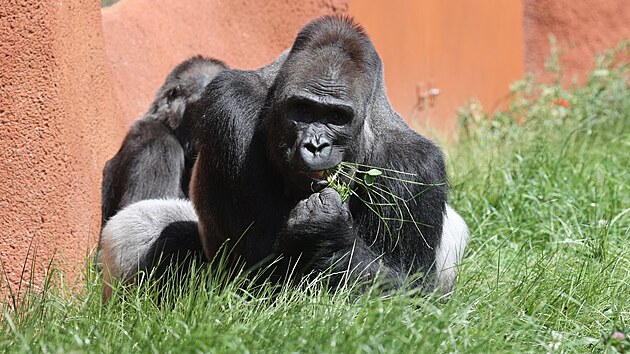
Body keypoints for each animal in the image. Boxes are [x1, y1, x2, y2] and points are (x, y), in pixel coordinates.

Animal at [101, 16, 470, 298]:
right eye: (302, 110)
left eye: (336, 117)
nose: (315, 145)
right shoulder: (229, 106)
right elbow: (251, 265)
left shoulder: (417, 166)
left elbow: (412, 291)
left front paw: (330, 230)